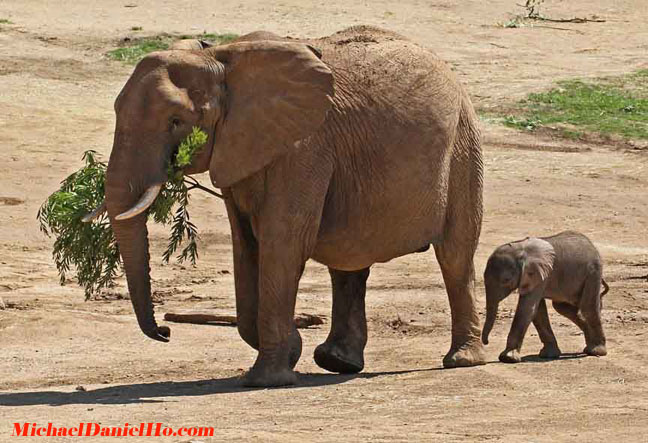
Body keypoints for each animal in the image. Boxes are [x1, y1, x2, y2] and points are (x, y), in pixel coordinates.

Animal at [86, 26, 484, 386]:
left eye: (176, 121)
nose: (166, 332)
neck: (220, 59)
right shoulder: (240, 147)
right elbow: (246, 244)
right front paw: (291, 349)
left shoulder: (304, 146)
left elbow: (284, 240)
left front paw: (266, 379)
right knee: (349, 260)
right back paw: (337, 362)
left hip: (463, 145)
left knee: (455, 254)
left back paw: (461, 360)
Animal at [480, 232, 608, 364]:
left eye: (506, 280)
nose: (486, 342)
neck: (520, 249)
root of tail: (592, 246)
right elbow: (537, 311)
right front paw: (548, 355)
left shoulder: (538, 274)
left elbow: (527, 308)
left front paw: (508, 358)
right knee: (562, 308)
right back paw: (589, 347)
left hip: (593, 272)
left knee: (588, 308)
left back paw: (597, 351)